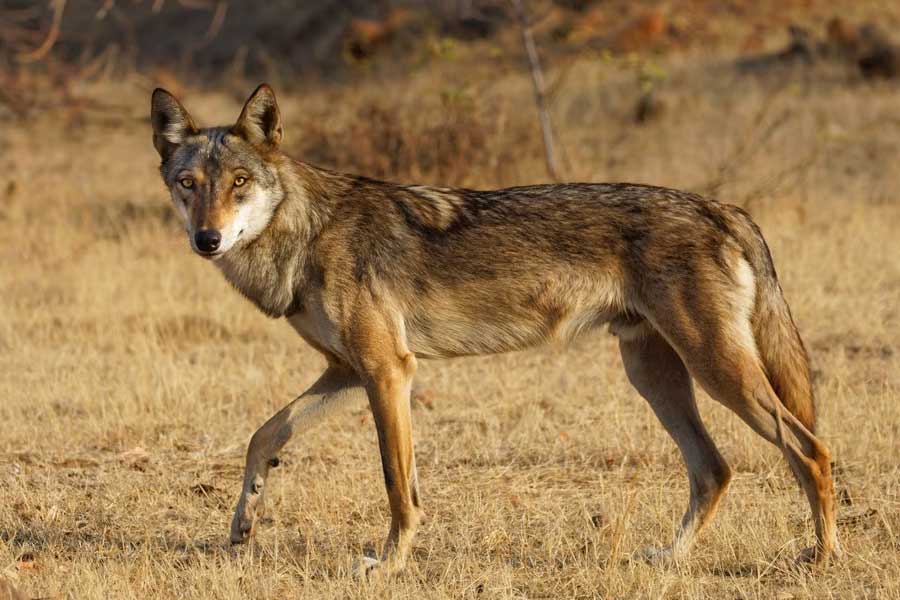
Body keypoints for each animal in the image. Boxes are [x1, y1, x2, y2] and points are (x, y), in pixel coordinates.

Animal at [150, 84, 840, 576]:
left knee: (809, 449)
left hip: (715, 371)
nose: (206, 239)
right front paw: (243, 521)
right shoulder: (349, 371)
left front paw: (388, 565)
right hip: (655, 376)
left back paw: (822, 558)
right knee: (714, 468)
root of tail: (724, 207)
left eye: (240, 184)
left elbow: (397, 485)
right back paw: (670, 559)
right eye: (189, 184)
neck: (309, 231)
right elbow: (262, 436)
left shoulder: (388, 371)